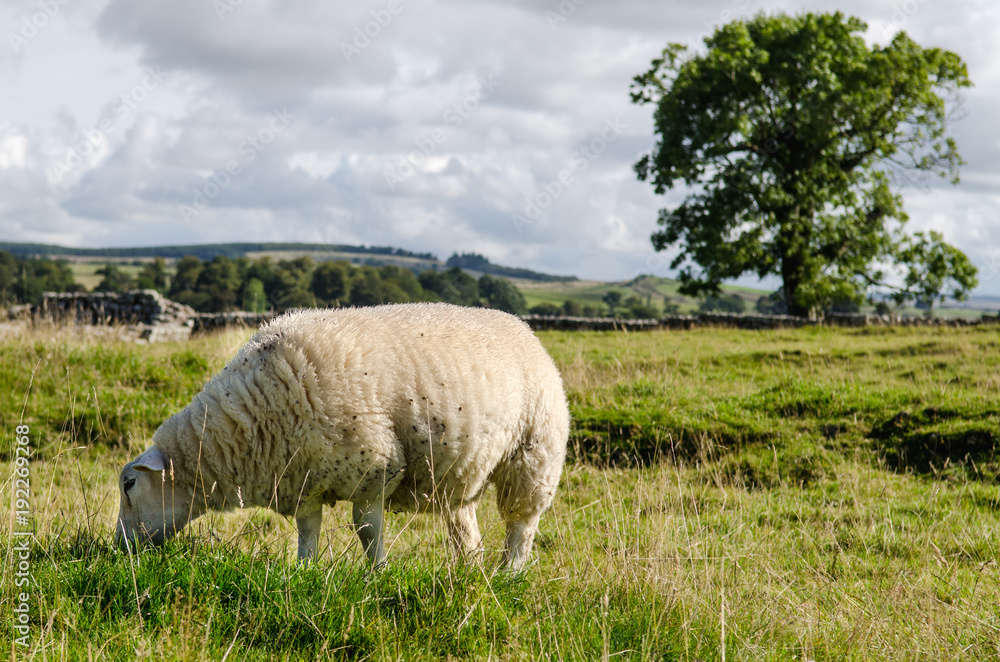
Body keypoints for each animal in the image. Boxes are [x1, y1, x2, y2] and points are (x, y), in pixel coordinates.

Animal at [116, 303, 570, 570]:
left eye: (129, 485)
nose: (119, 548)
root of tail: (523, 326)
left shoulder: (375, 469)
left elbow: (367, 530)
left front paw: (378, 574)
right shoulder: (301, 480)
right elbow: (308, 531)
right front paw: (304, 572)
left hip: (534, 456)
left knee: (522, 526)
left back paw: (508, 575)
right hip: (456, 473)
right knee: (466, 530)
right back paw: (468, 573)